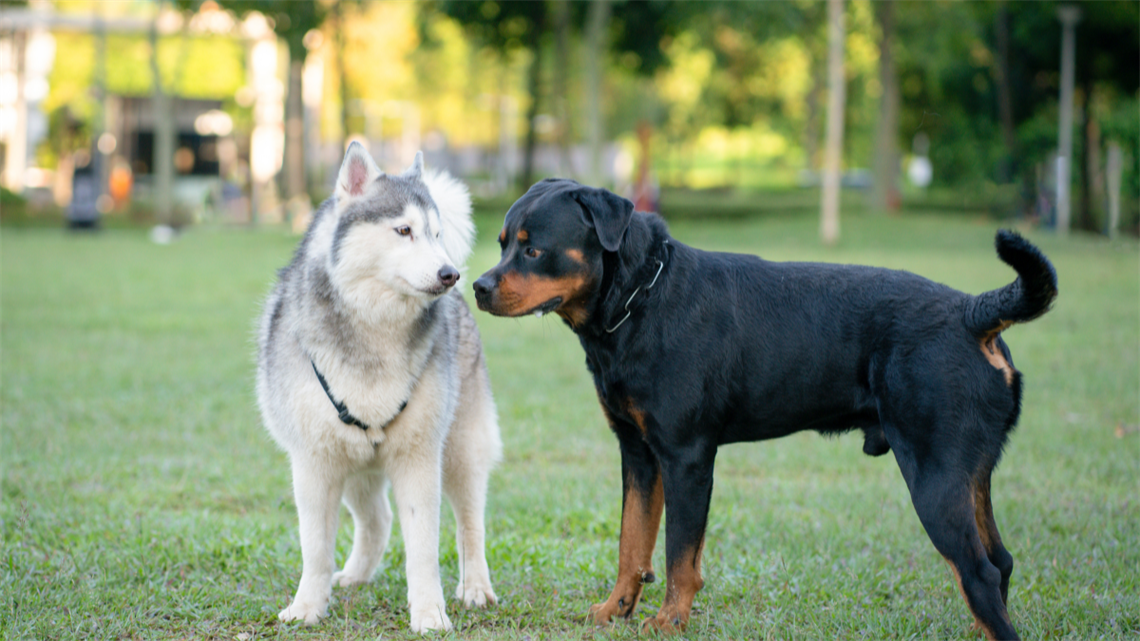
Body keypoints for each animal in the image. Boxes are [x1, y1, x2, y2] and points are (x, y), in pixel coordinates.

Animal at [262, 143, 503, 629]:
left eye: (435, 233)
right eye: (404, 230)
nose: (451, 274)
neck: (375, 327)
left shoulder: (419, 458)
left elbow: (424, 549)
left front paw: (430, 614)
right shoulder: (314, 462)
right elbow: (315, 548)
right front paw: (307, 607)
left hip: (461, 450)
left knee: (470, 522)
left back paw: (475, 587)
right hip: (357, 464)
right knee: (377, 519)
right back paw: (354, 576)